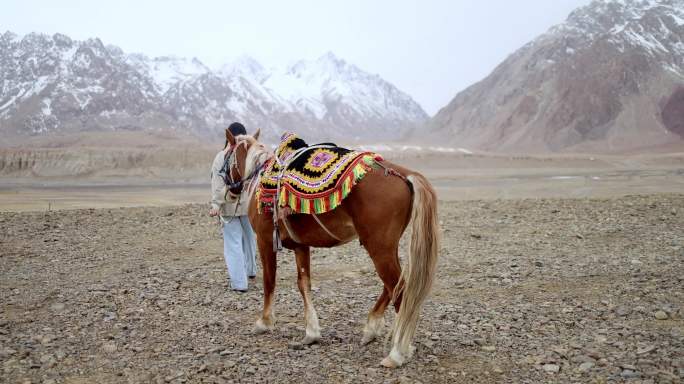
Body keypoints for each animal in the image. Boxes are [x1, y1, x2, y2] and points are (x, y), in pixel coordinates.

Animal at [222, 128, 440, 366]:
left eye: (225, 155)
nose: (229, 190)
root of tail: (404, 174)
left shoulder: (264, 239)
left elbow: (269, 281)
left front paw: (264, 322)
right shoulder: (300, 245)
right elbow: (304, 284)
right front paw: (311, 333)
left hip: (379, 247)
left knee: (399, 289)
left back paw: (397, 353)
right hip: (386, 246)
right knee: (394, 285)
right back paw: (372, 329)